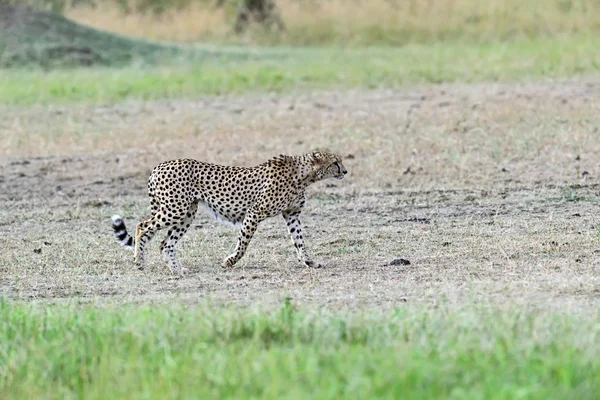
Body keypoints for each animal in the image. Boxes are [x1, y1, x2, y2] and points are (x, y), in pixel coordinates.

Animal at [110, 152, 350, 274]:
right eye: (335, 162)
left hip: (187, 213)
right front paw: (229, 262)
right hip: (175, 209)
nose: (346, 171)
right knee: (142, 226)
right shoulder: (254, 212)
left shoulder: (291, 215)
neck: (303, 175)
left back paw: (177, 270)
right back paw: (139, 262)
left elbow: (300, 242)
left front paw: (310, 262)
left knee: (164, 243)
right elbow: (243, 244)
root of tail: (159, 165)